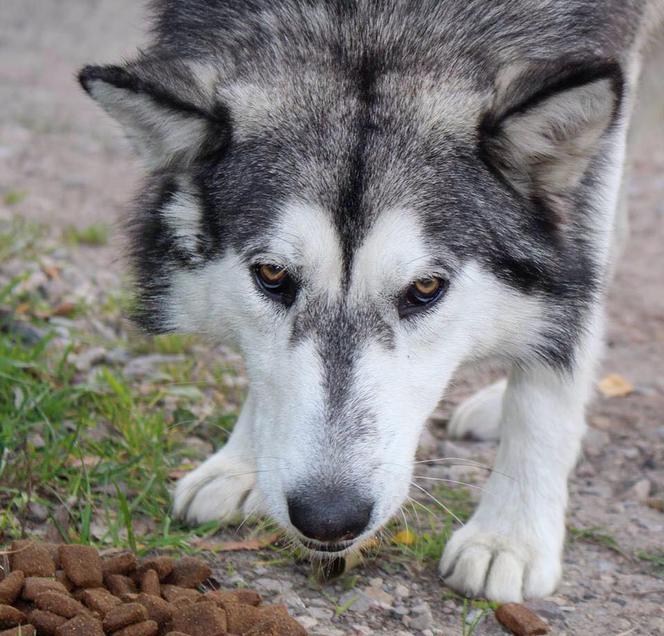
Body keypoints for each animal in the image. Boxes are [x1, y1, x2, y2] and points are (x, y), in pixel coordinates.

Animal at [79, 0, 664, 600]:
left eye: (425, 288)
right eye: (272, 275)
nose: (328, 518)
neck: (377, 20)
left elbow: (555, 364)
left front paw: (511, 535)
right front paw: (244, 462)